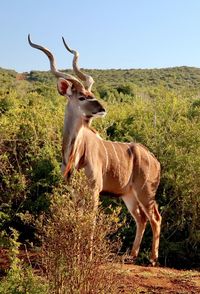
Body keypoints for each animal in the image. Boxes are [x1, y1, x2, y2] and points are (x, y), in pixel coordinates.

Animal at [28, 35, 162, 266]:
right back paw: (132, 255)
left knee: (155, 217)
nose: (102, 108)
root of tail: (155, 160)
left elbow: (90, 222)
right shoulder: (75, 193)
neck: (74, 156)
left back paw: (152, 259)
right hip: (128, 195)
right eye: (81, 97)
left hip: (146, 191)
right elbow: (77, 219)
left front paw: (88, 256)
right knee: (141, 218)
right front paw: (74, 254)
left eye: (91, 93)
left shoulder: (94, 190)